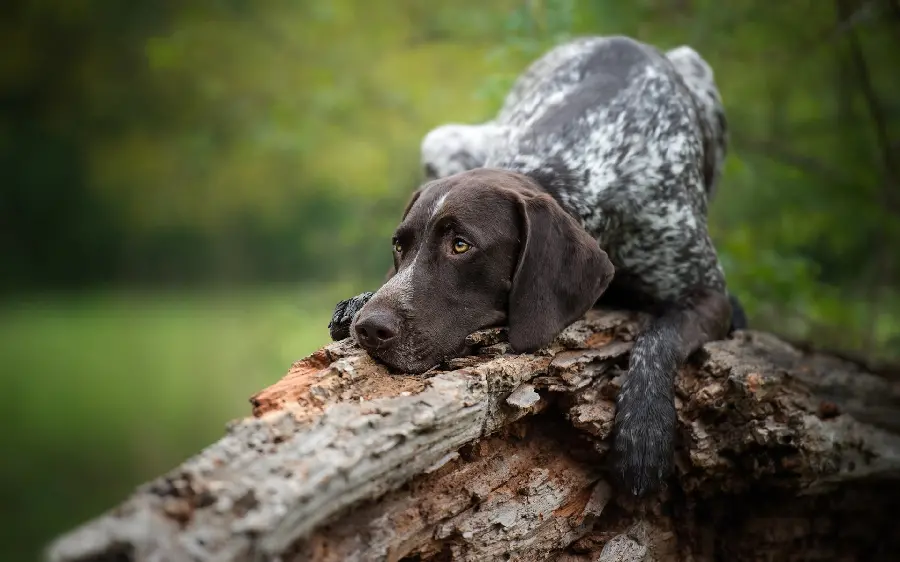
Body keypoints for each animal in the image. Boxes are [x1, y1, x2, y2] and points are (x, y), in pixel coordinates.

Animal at [326, 35, 740, 494]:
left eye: (460, 245)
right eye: (400, 246)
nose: (369, 328)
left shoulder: (709, 293)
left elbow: (659, 337)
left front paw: (644, 432)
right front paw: (357, 301)